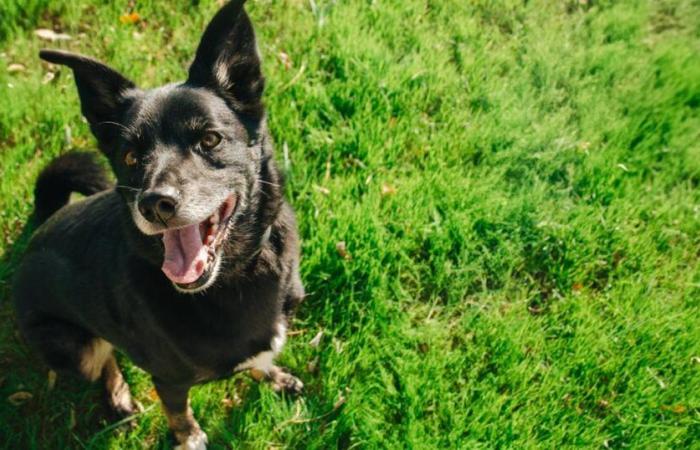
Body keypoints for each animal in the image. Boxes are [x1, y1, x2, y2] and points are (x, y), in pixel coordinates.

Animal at [12, 1, 304, 448]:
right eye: (131, 157)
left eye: (210, 140)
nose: (154, 205)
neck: (237, 276)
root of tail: (36, 231)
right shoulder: (168, 380)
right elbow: (178, 413)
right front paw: (189, 439)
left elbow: (260, 358)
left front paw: (273, 376)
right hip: (74, 348)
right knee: (104, 356)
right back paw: (119, 394)